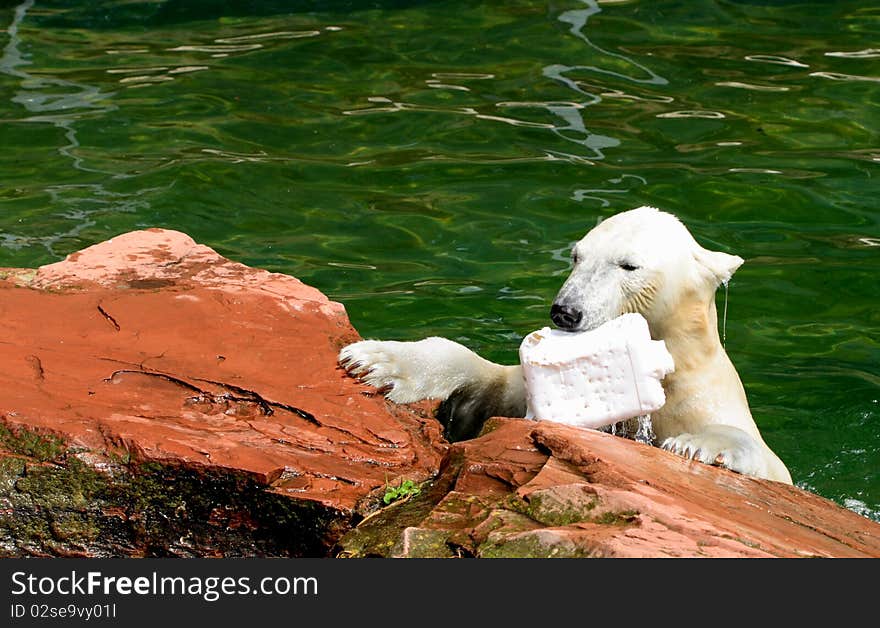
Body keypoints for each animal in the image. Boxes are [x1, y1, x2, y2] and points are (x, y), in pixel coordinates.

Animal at [340, 204, 796, 484]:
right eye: (577, 256)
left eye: (628, 265)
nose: (566, 311)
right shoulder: (521, 393)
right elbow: (484, 385)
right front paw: (376, 360)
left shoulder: (704, 399)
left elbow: (761, 457)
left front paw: (694, 445)